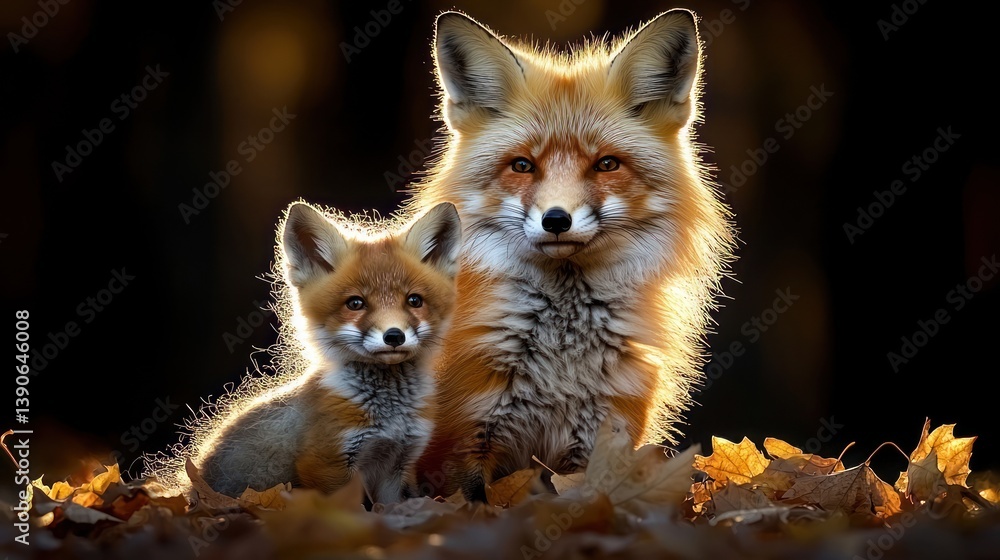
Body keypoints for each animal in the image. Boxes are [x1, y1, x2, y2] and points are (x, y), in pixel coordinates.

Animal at [195, 200, 462, 504]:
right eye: (355, 303)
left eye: (414, 300)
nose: (394, 336)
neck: (390, 417)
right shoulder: (328, 464)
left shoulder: (398, 465)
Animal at [409, 10, 736, 499]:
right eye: (522, 165)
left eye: (606, 164)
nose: (557, 220)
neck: (561, 364)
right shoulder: (464, 441)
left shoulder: (600, 442)